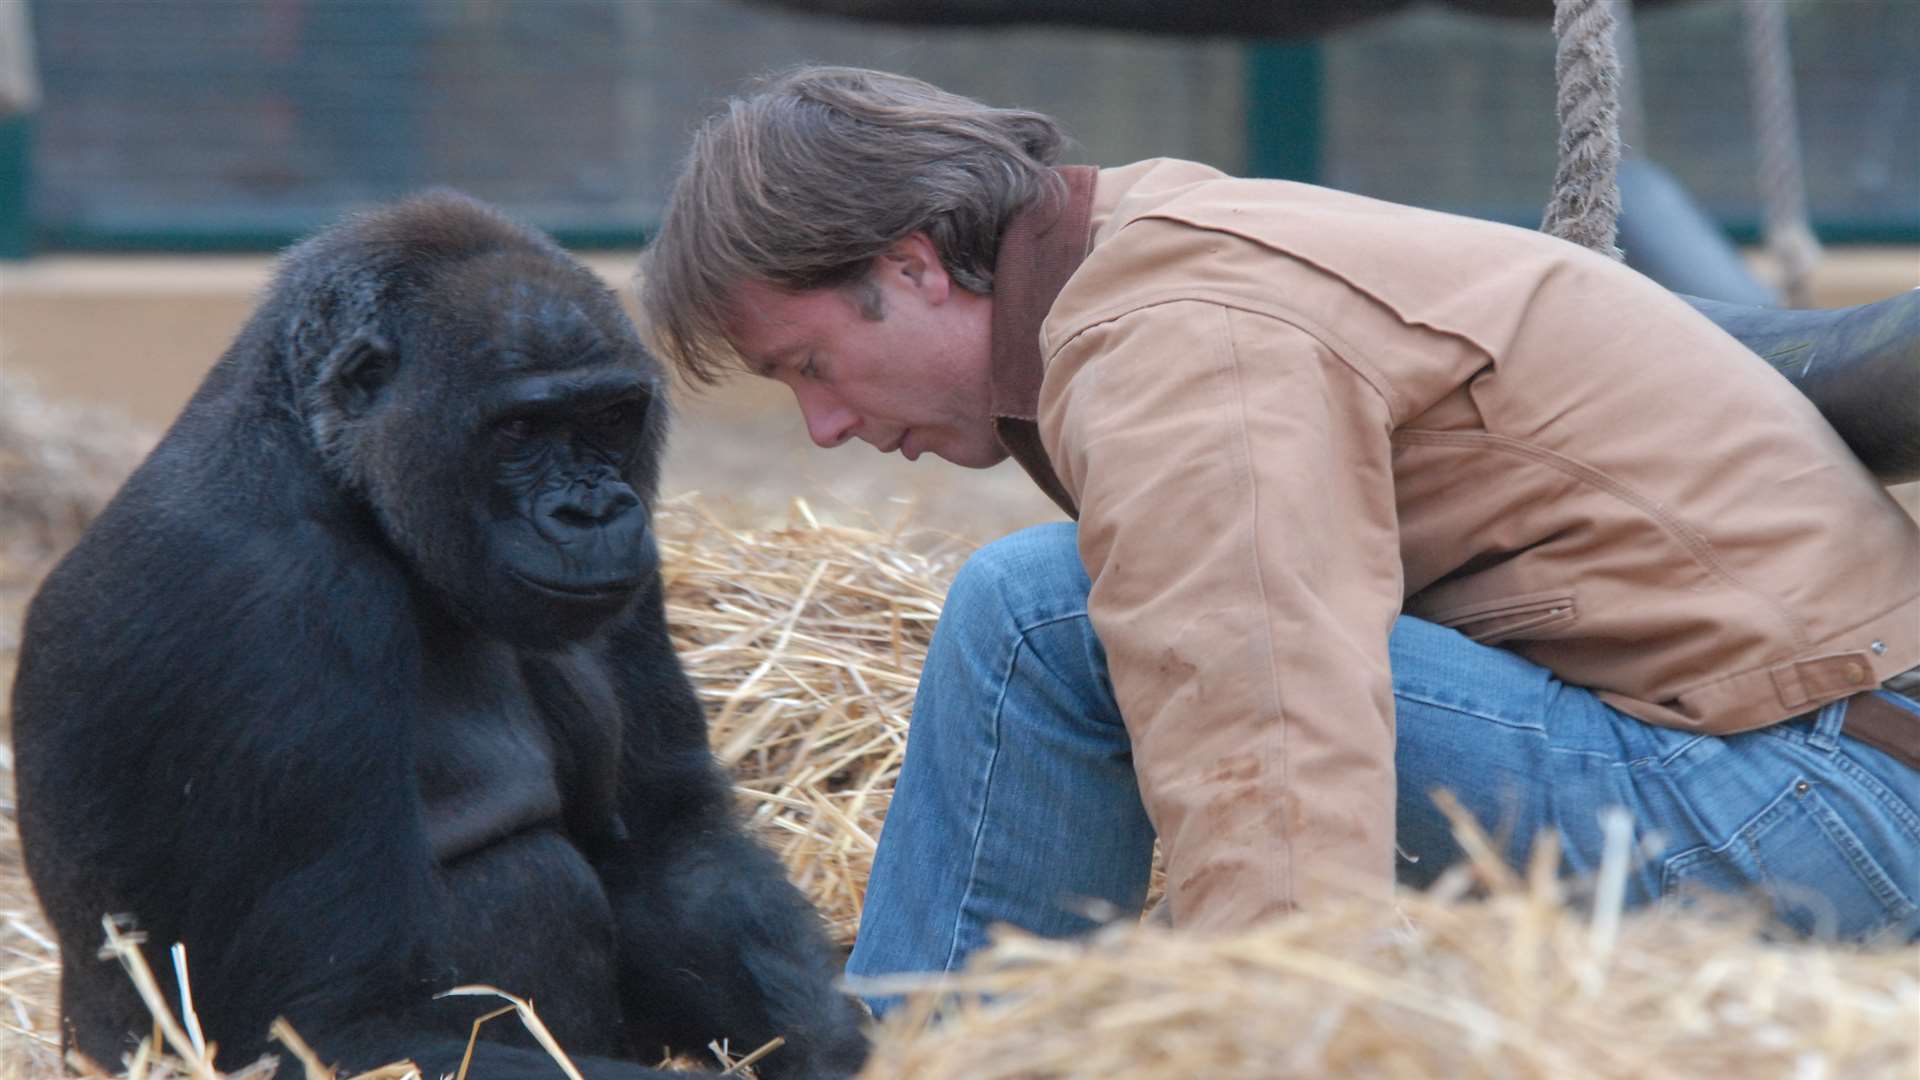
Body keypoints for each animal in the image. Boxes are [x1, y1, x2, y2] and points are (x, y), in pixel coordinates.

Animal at [13, 193, 871, 1076]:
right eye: (521, 429)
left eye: (608, 417)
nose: (593, 511)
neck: (321, 462)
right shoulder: (275, 602)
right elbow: (342, 1027)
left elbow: (676, 849)